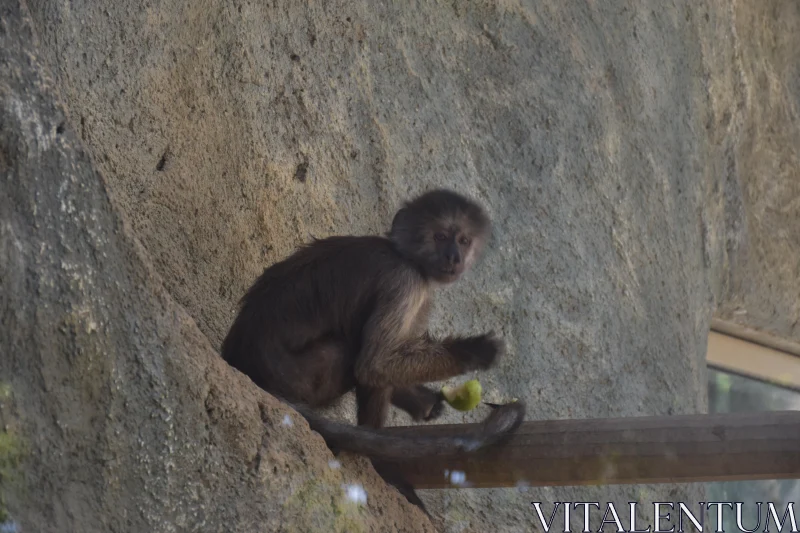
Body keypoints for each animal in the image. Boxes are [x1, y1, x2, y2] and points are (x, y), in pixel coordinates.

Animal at [222, 190, 528, 508]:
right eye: (441, 236)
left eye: (464, 240)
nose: (454, 256)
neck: (404, 256)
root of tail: (248, 365)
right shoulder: (405, 282)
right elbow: (376, 365)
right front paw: (474, 351)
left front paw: (421, 399)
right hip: (304, 378)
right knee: (353, 354)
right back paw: (375, 462)